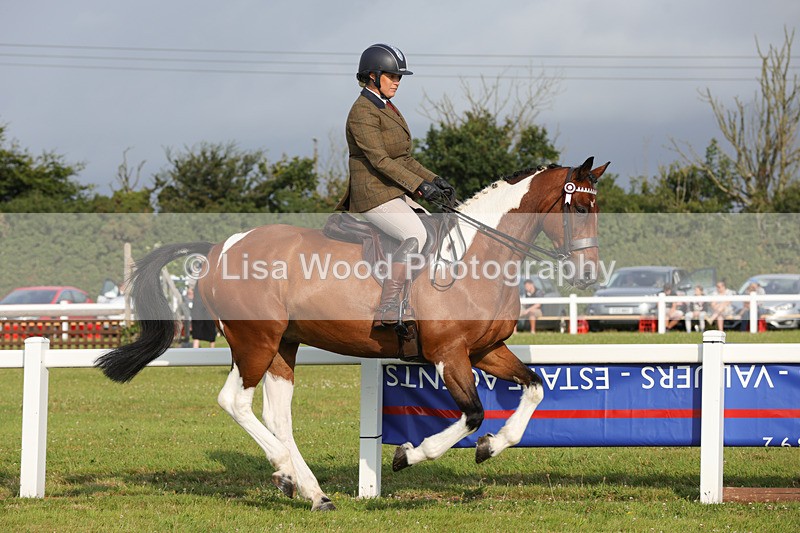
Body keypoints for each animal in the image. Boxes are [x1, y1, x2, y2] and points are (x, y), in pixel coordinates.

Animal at [96, 156, 609, 511]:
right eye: (580, 206)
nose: (588, 276)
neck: (474, 257)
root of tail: (221, 247)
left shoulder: (486, 350)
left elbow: (534, 388)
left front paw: (491, 447)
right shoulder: (449, 354)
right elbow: (471, 414)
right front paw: (409, 455)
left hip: (283, 345)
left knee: (278, 413)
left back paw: (311, 491)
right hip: (254, 342)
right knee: (235, 402)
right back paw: (286, 470)